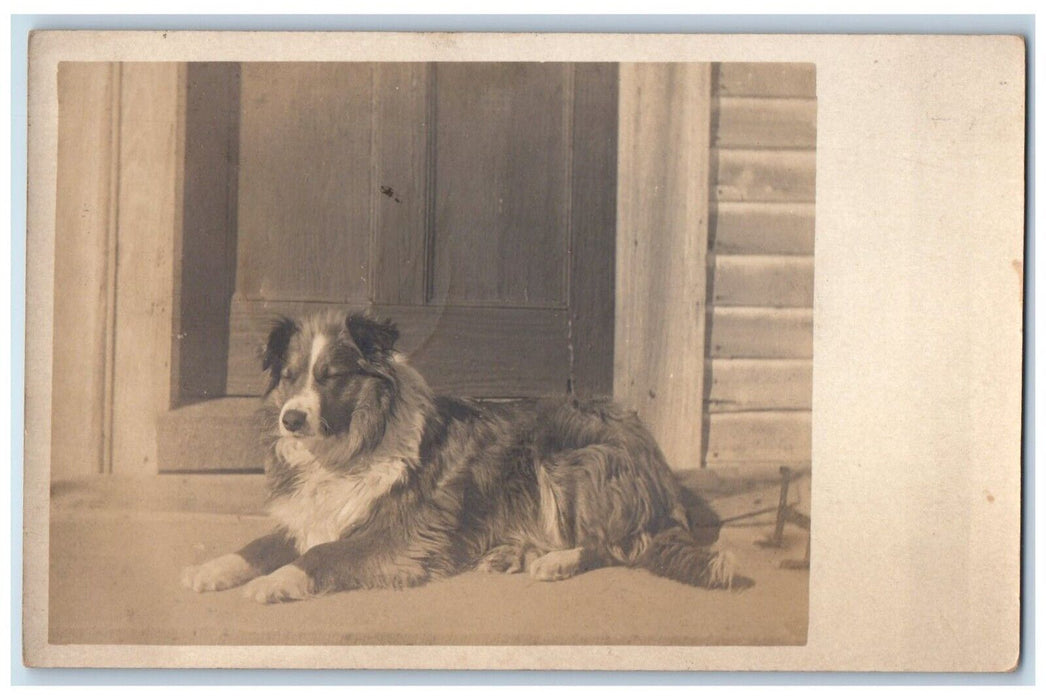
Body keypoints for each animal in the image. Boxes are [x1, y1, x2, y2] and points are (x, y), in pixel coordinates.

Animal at [182, 307, 753, 602]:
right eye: (290, 375)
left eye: (331, 376)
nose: (291, 419)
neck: (347, 449)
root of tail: (657, 462)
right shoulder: (310, 516)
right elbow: (257, 544)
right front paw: (213, 570)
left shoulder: (396, 536)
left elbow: (322, 555)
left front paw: (279, 580)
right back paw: (510, 555)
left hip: (567, 460)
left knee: (621, 545)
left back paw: (556, 562)